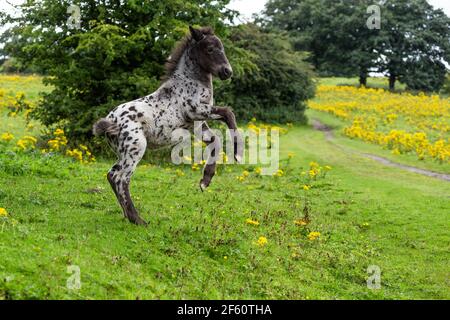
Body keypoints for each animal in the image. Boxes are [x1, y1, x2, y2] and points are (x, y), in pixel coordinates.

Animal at [93, 26, 243, 225]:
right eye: (210, 49)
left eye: (222, 47)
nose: (227, 72)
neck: (190, 81)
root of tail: (111, 121)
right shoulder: (196, 111)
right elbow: (228, 113)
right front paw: (238, 155)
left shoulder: (197, 123)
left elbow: (215, 140)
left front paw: (205, 180)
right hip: (136, 147)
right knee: (121, 178)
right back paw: (137, 219)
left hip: (122, 152)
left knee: (111, 174)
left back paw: (127, 215)